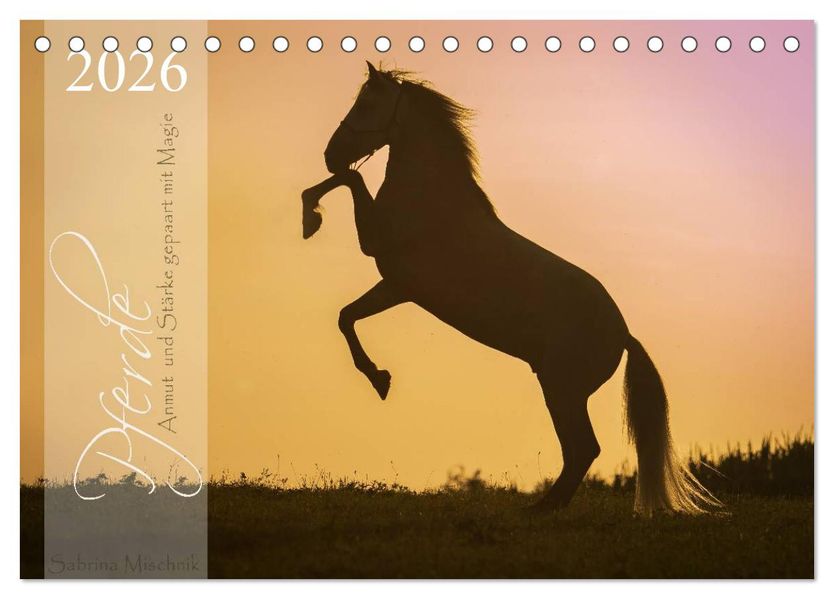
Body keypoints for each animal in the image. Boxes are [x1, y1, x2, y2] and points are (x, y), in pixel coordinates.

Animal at [301, 62, 716, 515]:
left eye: (367, 103)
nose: (329, 153)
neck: (431, 197)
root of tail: (623, 334)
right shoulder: (397, 286)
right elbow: (346, 313)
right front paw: (380, 378)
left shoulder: (384, 257)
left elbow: (351, 179)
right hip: (562, 387)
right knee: (580, 449)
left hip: (561, 387)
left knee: (583, 448)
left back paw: (543, 507)